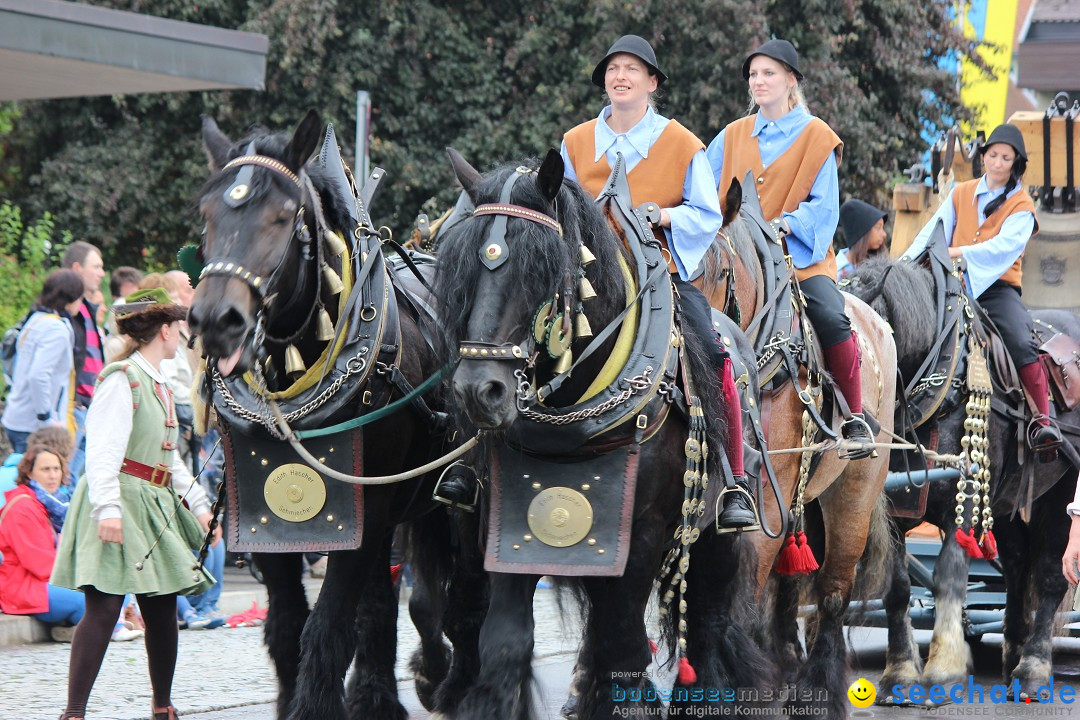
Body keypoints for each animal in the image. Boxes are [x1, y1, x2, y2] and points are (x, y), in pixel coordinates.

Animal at [191, 112, 486, 720]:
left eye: (282, 217)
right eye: (206, 214)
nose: (214, 320)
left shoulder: (365, 512)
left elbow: (325, 626)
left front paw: (316, 704)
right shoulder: (267, 516)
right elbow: (289, 624)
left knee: (465, 591)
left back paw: (456, 684)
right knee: (401, 601)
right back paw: (392, 688)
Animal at [429, 148, 768, 716]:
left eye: (539, 267)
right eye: (463, 268)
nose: (479, 391)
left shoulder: (642, 535)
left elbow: (621, 644)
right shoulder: (507, 524)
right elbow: (505, 641)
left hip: (714, 539)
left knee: (709, 624)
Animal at [842, 254, 1080, 699]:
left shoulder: (964, 501)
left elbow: (949, 576)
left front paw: (942, 669)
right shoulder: (895, 509)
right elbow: (898, 587)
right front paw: (900, 673)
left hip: (1060, 490)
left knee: (1051, 574)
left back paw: (1032, 667)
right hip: (1008, 502)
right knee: (1017, 567)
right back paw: (1012, 653)